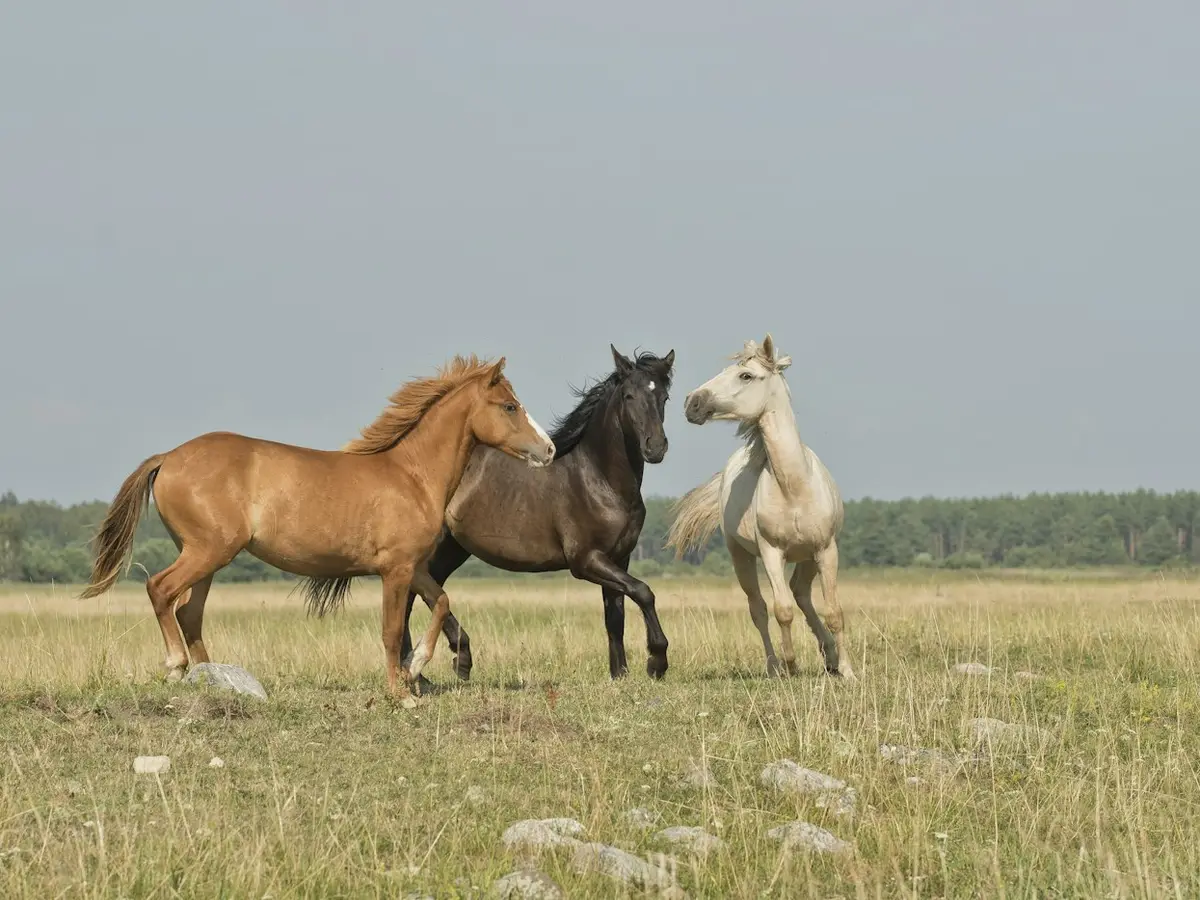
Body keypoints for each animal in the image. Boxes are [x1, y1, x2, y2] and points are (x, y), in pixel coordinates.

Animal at [80, 355, 556, 698]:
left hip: (208, 557)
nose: (548, 450)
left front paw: (417, 666)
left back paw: (212, 677)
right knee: (161, 590)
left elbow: (441, 602)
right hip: (207, 550)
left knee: (188, 611)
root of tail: (169, 457)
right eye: (510, 406)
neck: (411, 476)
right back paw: (177, 667)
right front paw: (400, 693)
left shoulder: (414, 567)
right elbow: (391, 630)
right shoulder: (395, 570)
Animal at [303, 345, 675, 681]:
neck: (597, 479)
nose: (655, 447)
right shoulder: (585, 561)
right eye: (628, 395)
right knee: (414, 598)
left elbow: (616, 616)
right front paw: (656, 662)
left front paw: (620, 675)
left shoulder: (618, 557)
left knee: (417, 596)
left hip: (449, 550)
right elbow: (644, 592)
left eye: (664, 397)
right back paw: (446, 664)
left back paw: (424, 671)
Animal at [666, 335, 855, 680]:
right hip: (741, 556)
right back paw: (775, 666)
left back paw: (830, 657)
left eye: (746, 375)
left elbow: (834, 611)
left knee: (801, 593)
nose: (692, 402)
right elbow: (782, 610)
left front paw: (847, 671)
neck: (794, 487)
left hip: (808, 557)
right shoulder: (771, 552)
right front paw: (791, 665)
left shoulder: (826, 549)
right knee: (760, 609)